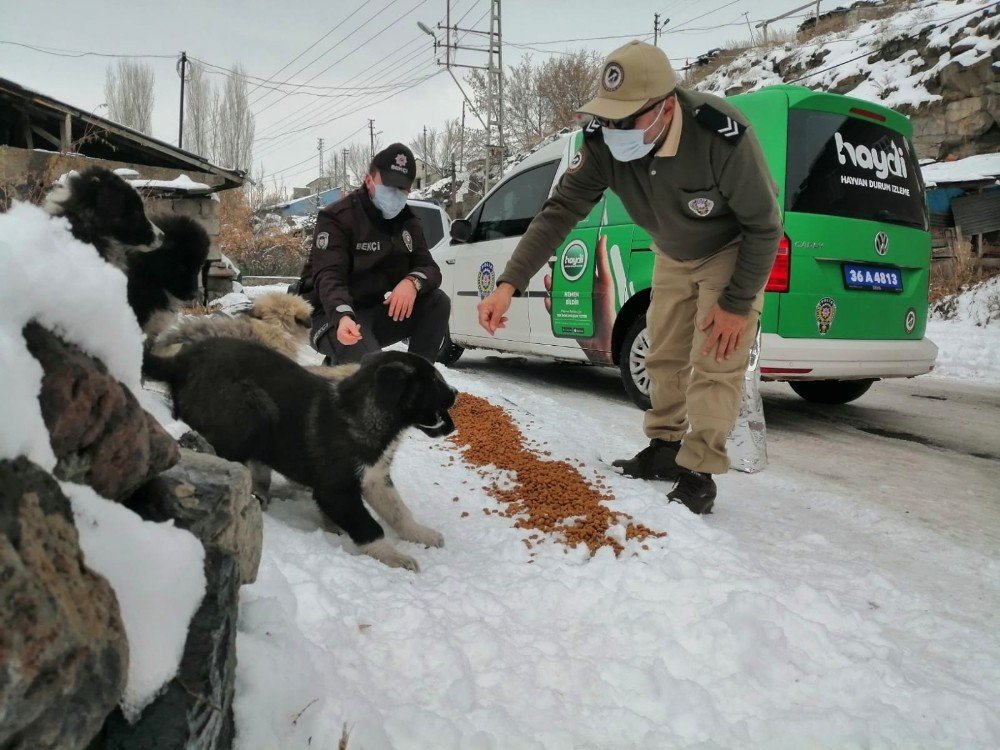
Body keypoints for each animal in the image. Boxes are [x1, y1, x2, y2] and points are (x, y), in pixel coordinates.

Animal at [143, 342, 456, 576]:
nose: (455, 393)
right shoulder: (335, 490)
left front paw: (420, 534)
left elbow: (398, 510)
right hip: (249, 411)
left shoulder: (375, 477)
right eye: (433, 381)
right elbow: (369, 526)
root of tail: (181, 360)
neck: (367, 414)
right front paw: (393, 556)